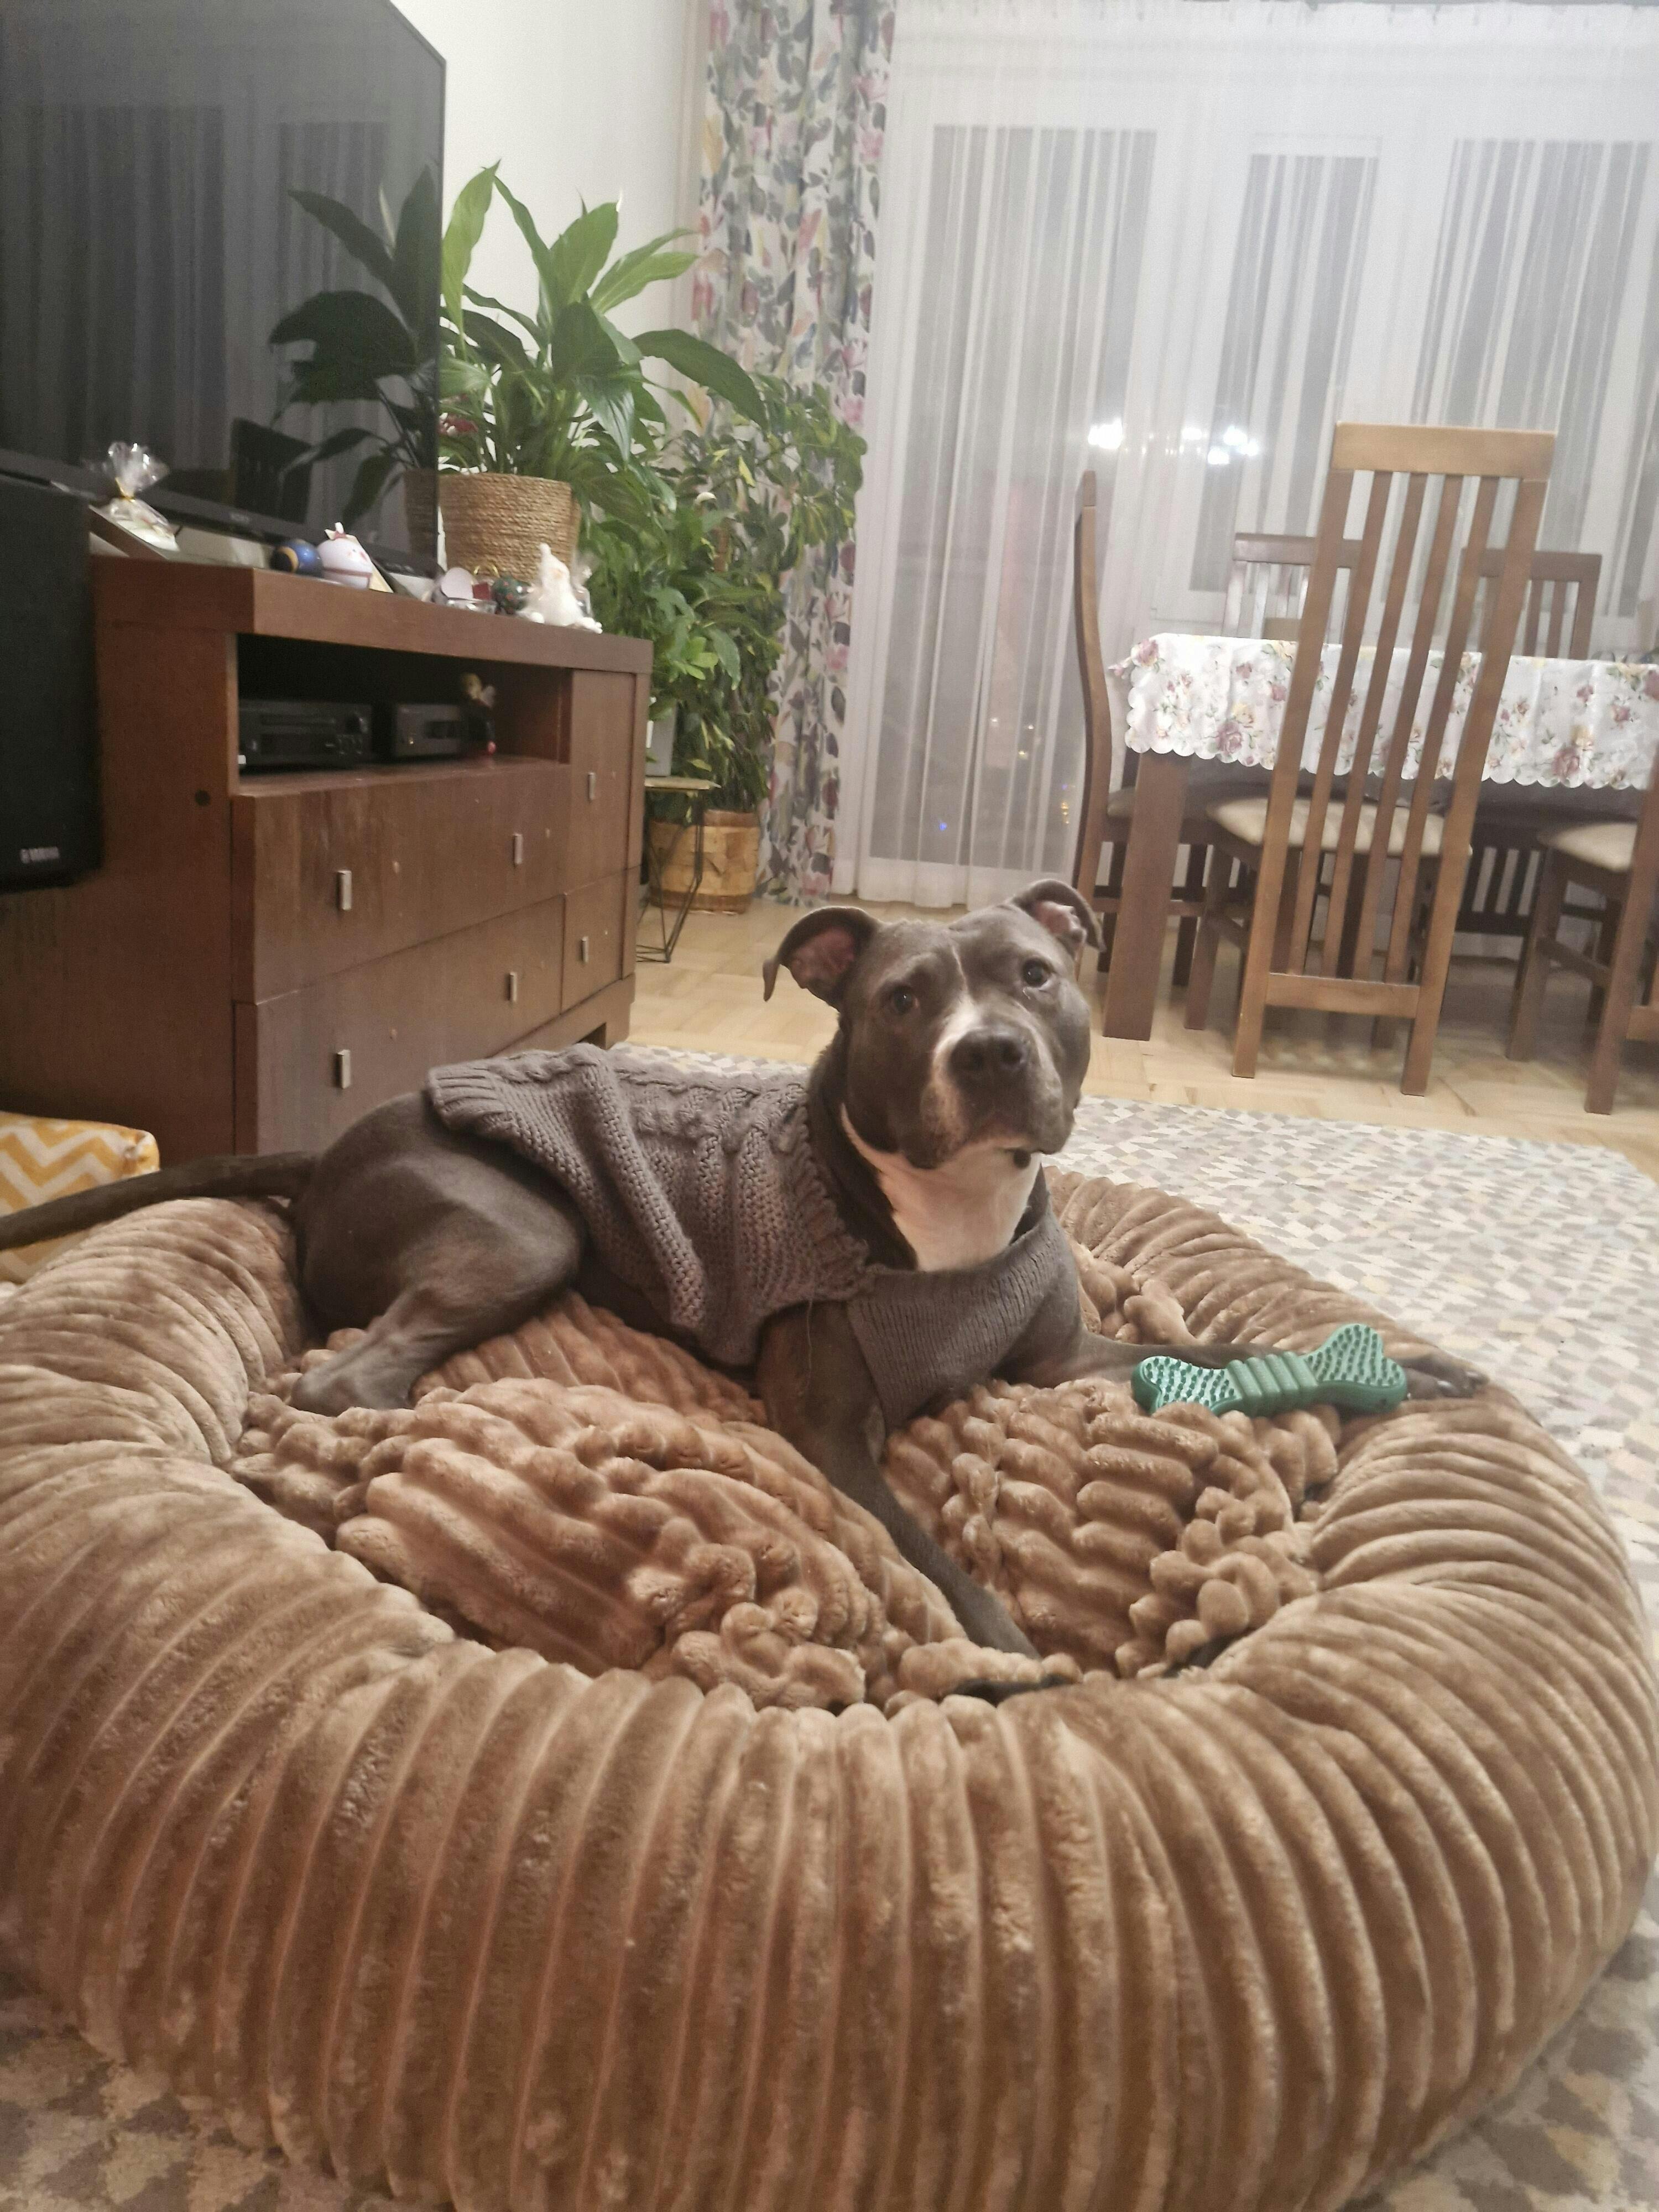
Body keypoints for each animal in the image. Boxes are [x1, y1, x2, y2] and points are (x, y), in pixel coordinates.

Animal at [0, 877, 1478, 1657]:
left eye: (1036, 975)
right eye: (902, 999)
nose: (993, 1052)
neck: (942, 1222)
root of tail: (323, 1150)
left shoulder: (1063, 1354)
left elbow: (1224, 1352)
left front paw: (1415, 1367)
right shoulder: (834, 1431)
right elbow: (917, 1536)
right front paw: (1003, 1640)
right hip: (522, 1229)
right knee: (344, 1370)